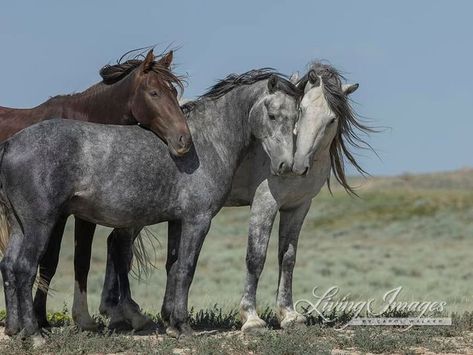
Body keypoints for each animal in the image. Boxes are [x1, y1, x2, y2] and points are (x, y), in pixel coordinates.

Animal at [0, 69, 300, 336]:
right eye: (273, 115)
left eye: (296, 117)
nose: (285, 165)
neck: (208, 143)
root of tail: (11, 144)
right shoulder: (197, 220)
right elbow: (186, 270)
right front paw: (183, 327)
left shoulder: (177, 221)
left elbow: (174, 267)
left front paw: (172, 323)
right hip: (40, 224)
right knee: (25, 268)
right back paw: (34, 333)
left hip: (20, 226)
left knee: (10, 265)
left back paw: (15, 329)